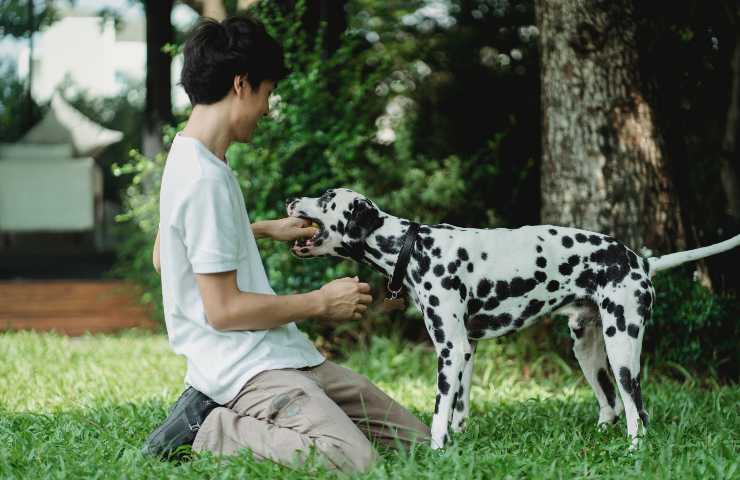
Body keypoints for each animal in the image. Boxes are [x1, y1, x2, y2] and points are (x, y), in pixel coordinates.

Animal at [284, 188, 740, 450]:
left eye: (326, 198)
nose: (290, 200)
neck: (413, 248)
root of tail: (639, 260)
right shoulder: (465, 352)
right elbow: (459, 411)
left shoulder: (450, 350)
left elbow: (438, 415)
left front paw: (436, 452)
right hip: (588, 351)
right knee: (611, 406)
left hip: (623, 350)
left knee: (636, 413)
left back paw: (633, 451)